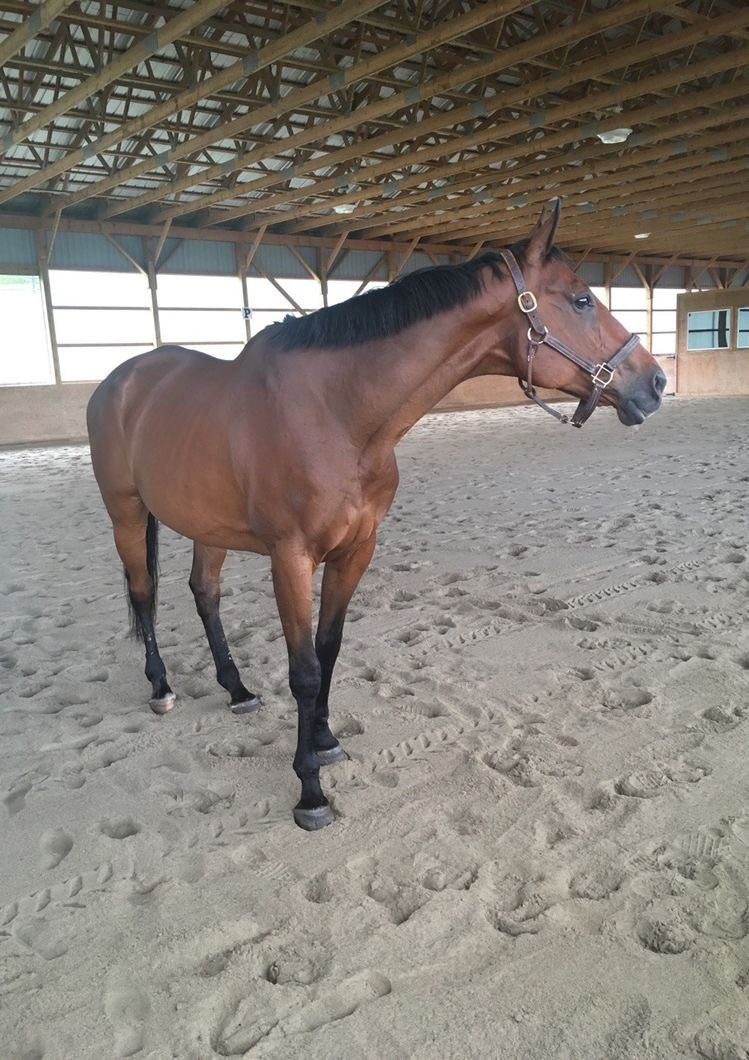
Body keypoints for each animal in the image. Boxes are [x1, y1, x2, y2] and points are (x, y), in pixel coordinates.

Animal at [87, 201, 666, 830]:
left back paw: (237, 689)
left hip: (206, 525)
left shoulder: (356, 549)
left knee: (204, 593)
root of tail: (118, 381)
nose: (655, 382)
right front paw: (310, 792)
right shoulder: (291, 559)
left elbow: (329, 649)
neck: (336, 414)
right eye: (582, 299)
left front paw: (324, 741)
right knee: (144, 594)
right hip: (125, 513)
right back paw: (161, 688)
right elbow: (304, 670)